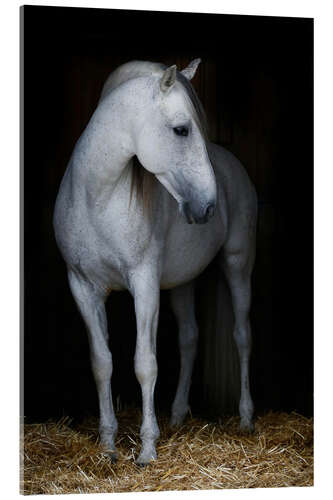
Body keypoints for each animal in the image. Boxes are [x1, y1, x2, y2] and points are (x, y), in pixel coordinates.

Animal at [53, 58, 256, 464]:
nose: (207, 206)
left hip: (238, 264)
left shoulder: (144, 285)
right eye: (181, 130)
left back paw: (245, 420)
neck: (96, 201)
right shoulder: (82, 286)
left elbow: (145, 364)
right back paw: (177, 417)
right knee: (189, 338)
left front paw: (147, 449)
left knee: (242, 336)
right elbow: (102, 363)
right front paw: (108, 446)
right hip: (182, 282)